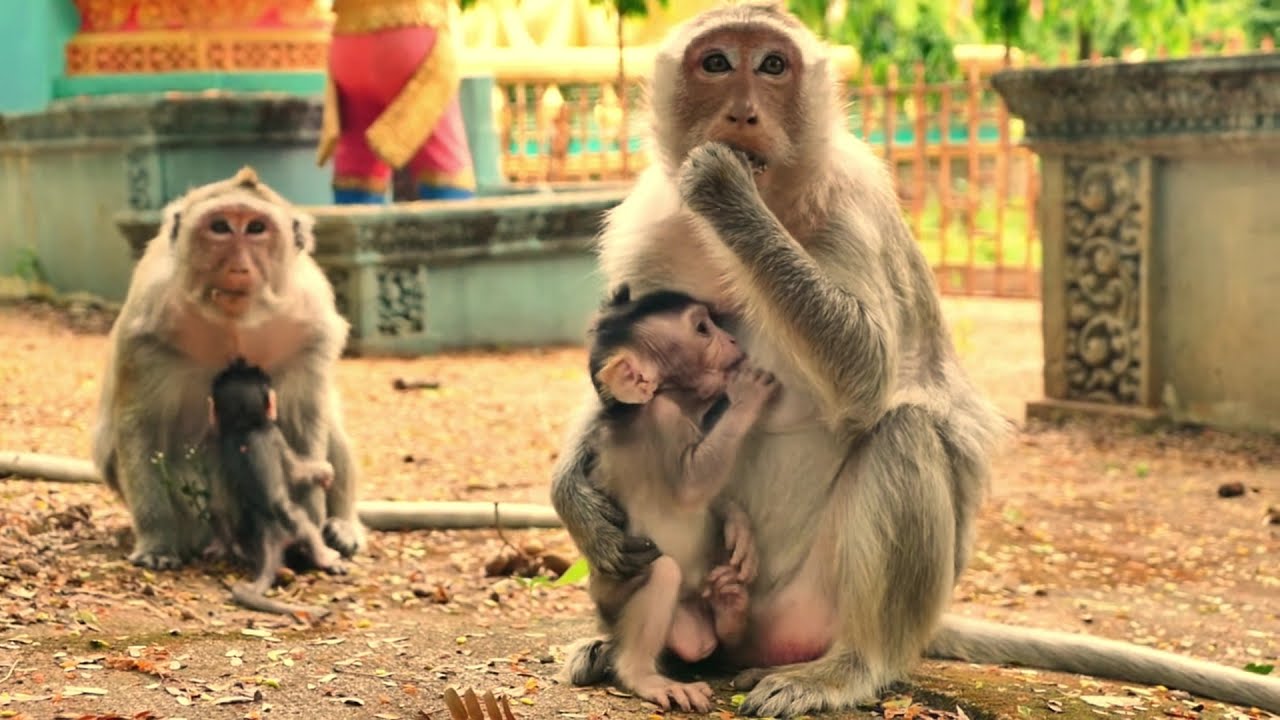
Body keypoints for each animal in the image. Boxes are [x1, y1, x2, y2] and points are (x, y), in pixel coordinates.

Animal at [91, 166, 366, 572]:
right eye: (220, 227)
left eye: (256, 228)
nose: (238, 267)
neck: (234, 321)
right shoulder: (148, 325)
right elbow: (139, 425)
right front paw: (158, 542)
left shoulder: (310, 321)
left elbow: (306, 420)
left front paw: (313, 536)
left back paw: (341, 525)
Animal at [206, 357, 346, 617]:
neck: (244, 428)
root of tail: (268, 536)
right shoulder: (273, 433)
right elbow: (294, 475)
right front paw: (325, 471)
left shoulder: (216, 449)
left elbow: (217, 504)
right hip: (290, 528)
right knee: (302, 521)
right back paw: (324, 556)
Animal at [562, 285, 778, 713]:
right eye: (702, 329)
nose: (732, 340)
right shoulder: (663, 419)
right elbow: (692, 487)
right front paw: (745, 396)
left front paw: (738, 527)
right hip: (613, 596)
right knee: (663, 572)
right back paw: (644, 677)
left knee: (702, 640)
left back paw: (729, 603)